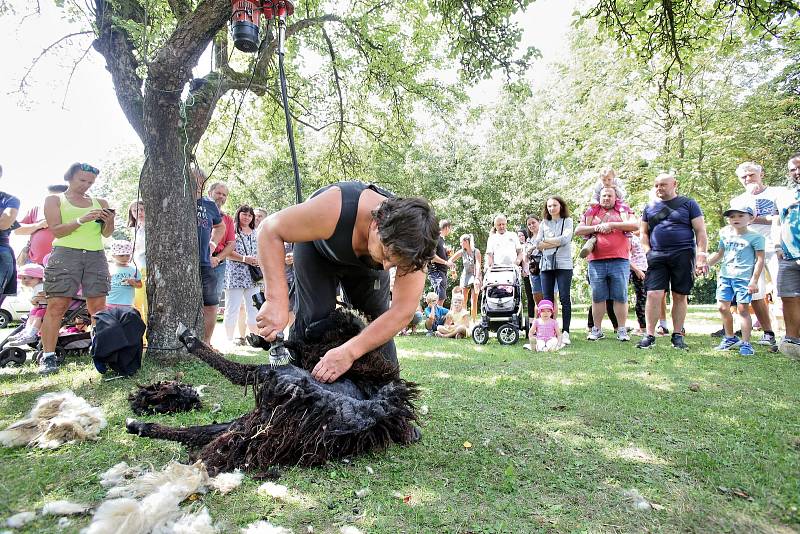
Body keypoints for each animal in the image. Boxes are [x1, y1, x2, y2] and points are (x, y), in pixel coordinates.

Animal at [126, 310, 418, 478]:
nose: (308, 327)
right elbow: (293, 344)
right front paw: (263, 338)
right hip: (259, 419)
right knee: (201, 432)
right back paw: (141, 426)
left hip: (276, 388)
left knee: (241, 374)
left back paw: (189, 340)